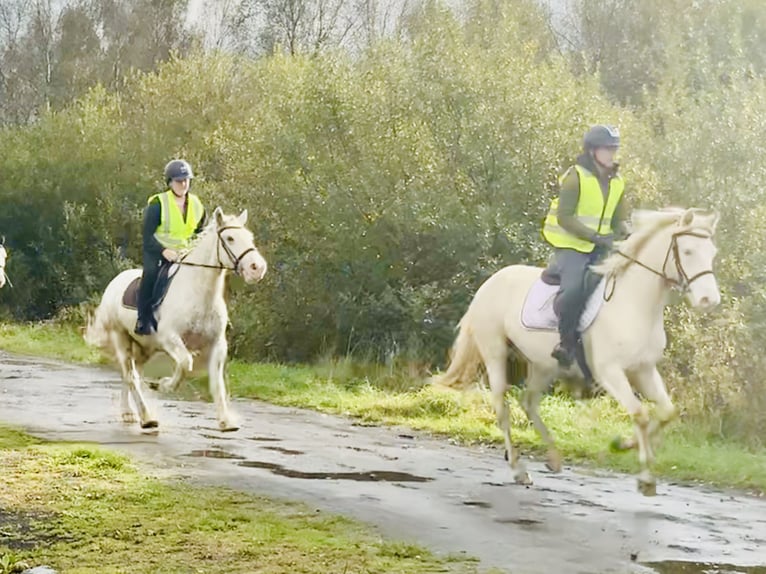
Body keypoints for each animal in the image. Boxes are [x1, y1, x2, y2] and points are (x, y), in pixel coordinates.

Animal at [85, 207, 268, 432]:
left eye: (250, 237)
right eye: (230, 238)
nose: (257, 268)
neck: (199, 293)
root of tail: (115, 282)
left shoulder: (217, 344)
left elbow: (217, 383)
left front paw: (226, 421)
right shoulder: (169, 338)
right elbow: (185, 363)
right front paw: (163, 384)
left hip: (145, 347)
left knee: (132, 374)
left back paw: (128, 413)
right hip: (122, 338)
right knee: (131, 375)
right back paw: (147, 417)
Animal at [436, 209, 724, 498]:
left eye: (712, 252)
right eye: (687, 251)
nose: (709, 301)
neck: (635, 304)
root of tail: (490, 282)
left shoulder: (644, 370)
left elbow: (666, 413)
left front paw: (625, 445)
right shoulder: (610, 372)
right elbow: (640, 414)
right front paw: (644, 476)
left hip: (543, 365)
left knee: (528, 402)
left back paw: (553, 457)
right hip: (495, 352)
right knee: (502, 408)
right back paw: (519, 470)